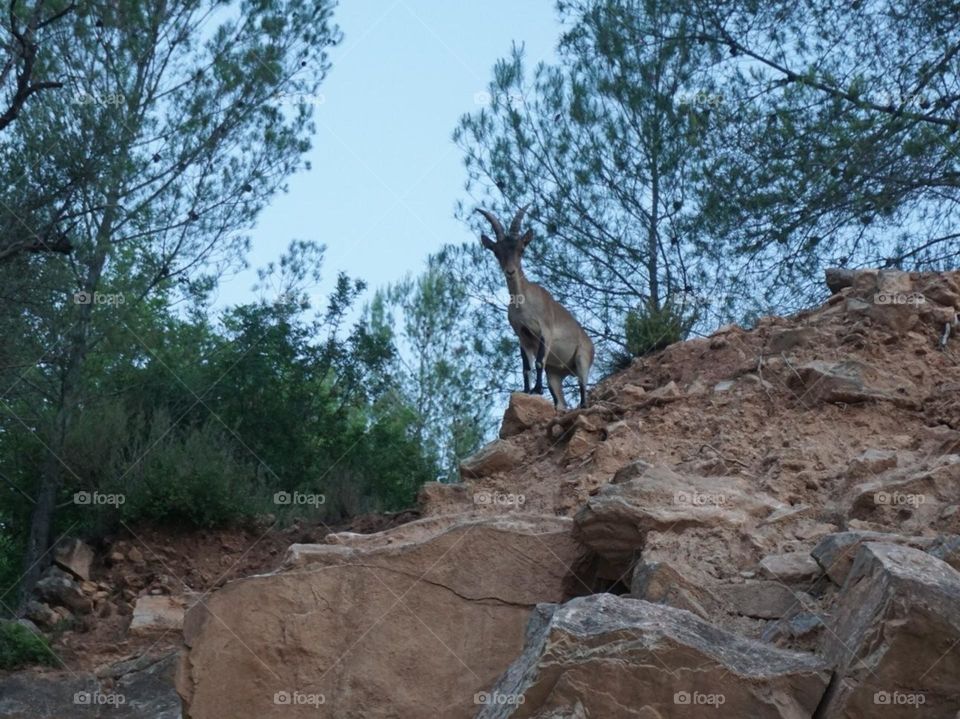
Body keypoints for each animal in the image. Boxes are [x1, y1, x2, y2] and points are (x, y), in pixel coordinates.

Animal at [478, 208, 596, 410]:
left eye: (521, 249)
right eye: (496, 251)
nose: (510, 272)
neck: (524, 304)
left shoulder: (545, 332)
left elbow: (539, 362)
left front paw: (537, 389)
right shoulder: (522, 337)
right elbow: (526, 367)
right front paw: (527, 390)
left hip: (582, 359)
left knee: (582, 387)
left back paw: (582, 405)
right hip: (555, 374)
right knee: (560, 400)